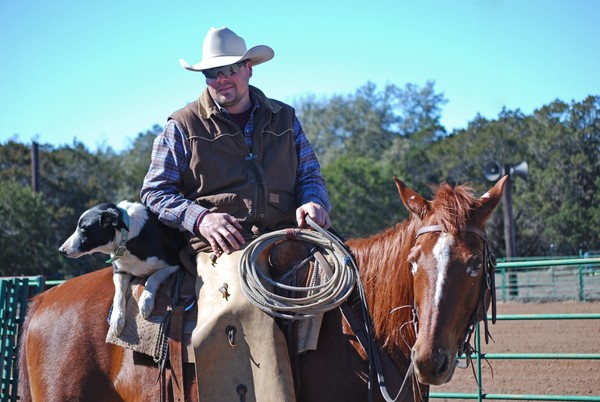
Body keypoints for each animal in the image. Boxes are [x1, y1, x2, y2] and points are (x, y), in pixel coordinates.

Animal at [59, 200, 185, 336]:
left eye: (83, 228)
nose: (61, 250)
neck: (126, 239)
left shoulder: (174, 264)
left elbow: (153, 278)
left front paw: (146, 301)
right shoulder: (120, 272)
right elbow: (119, 293)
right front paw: (117, 319)